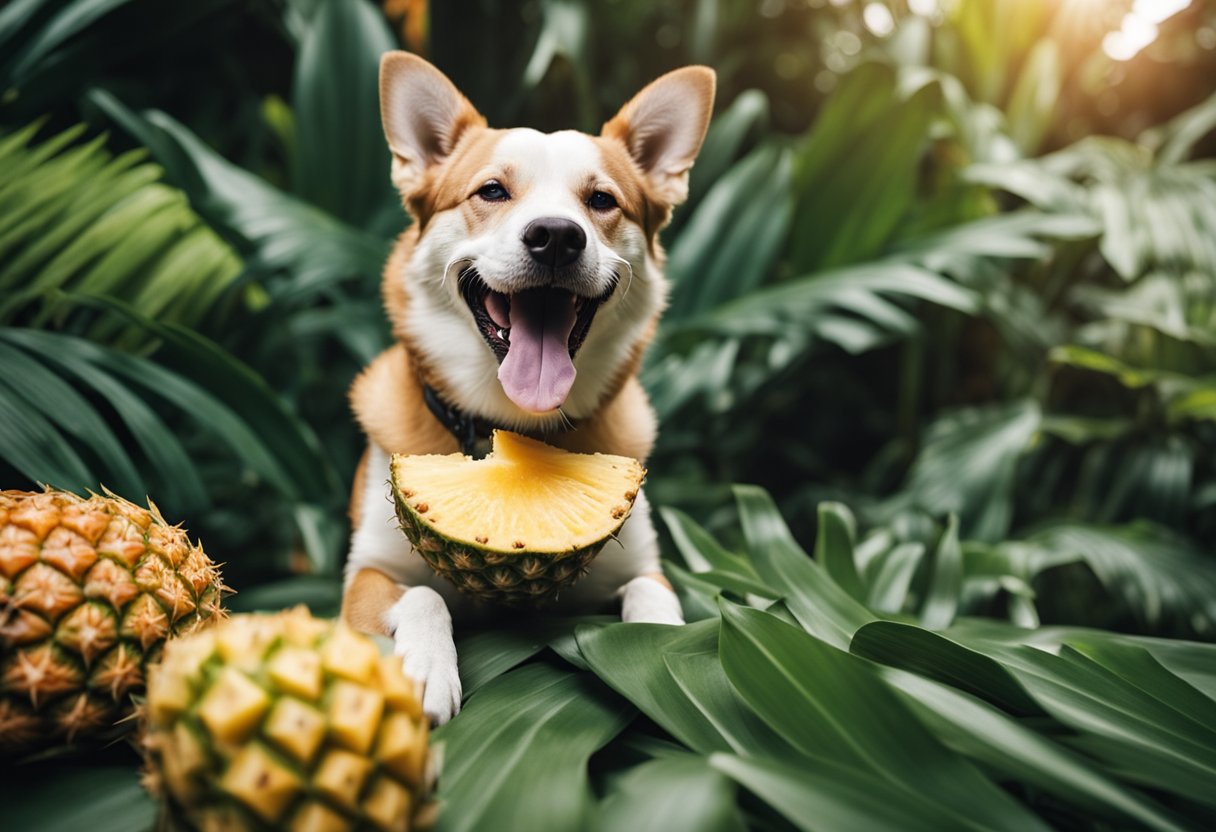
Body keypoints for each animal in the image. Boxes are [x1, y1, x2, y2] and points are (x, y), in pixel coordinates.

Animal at [340, 52, 710, 724]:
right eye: (491, 191)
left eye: (601, 200)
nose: (557, 235)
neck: (517, 424)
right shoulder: (365, 577)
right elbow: (423, 598)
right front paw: (425, 667)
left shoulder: (642, 565)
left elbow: (654, 602)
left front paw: (663, 654)